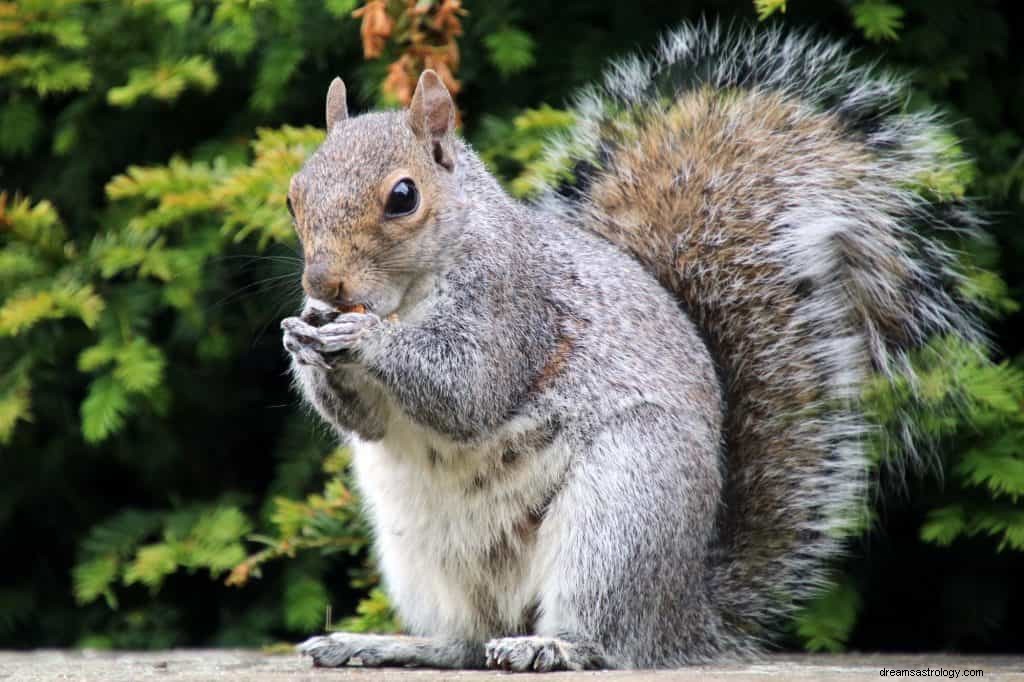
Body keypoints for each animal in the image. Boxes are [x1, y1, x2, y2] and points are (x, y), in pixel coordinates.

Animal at [280, 22, 983, 667]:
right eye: (294, 196)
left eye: (403, 196)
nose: (323, 285)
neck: (408, 295)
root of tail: (682, 616)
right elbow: (368, 422)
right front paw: (304, 337)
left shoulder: (513, 308)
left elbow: (468, 390)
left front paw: (359, 335)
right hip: (422, 555)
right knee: (466, 643)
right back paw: (378, 644)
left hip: (620, 513)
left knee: (601, 639)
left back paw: (551, 646)